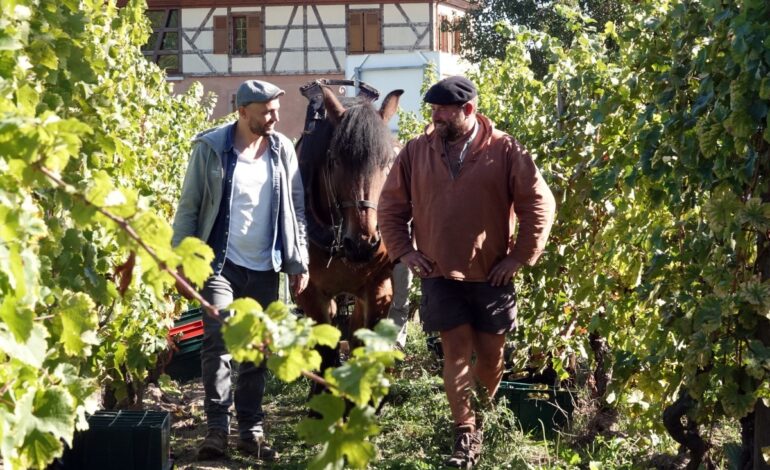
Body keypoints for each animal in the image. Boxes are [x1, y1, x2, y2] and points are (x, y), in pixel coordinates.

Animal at [294, 84, 402, 378]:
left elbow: (365, 343)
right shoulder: (311, 294)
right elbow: (326, 352)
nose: (363, 243)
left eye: (388, 161)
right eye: (334, 160)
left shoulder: (379, 287)